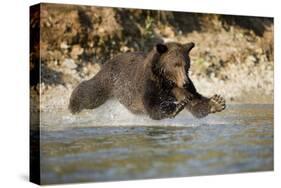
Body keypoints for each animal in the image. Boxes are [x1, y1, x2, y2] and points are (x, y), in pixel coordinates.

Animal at [68, 42, 225, 119]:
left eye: (187, 65)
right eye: (175, 64)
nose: (185, 82)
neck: (165, 80)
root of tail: (109, 60)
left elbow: (195, 102)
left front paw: (217, 102)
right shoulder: (148, 83)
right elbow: (152, 106)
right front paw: (176, 107)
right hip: (109, 80)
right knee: (90, 93)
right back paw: (73, 106)